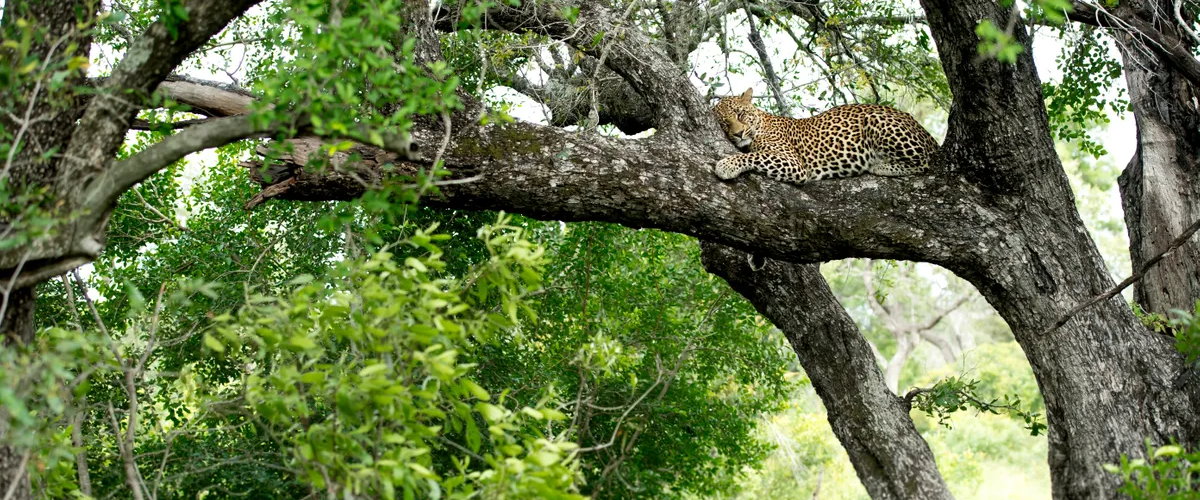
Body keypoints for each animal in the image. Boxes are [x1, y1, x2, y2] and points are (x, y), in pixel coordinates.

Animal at [711, 88, 939, 184]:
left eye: (740, 114)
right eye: (724, 124)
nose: (738, 133)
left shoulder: (794, 164)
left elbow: (755, 156)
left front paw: (726, 165)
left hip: (877, 120)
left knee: (924, 161)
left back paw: (879, 165)